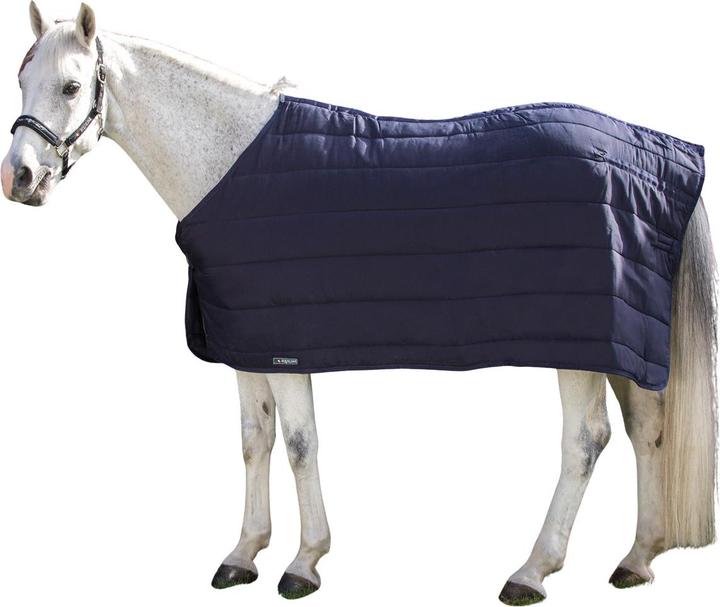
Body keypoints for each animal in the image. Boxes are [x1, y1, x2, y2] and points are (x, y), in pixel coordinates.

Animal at [2, 3, 716, 604]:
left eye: (70, 87)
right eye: (20, 78)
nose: (19, 178)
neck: (229, 164)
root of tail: (651, 147)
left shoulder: (287, 350)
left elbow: (298, 444)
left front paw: (302, 563)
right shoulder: (246, 346)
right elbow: (254, 441)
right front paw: (242, 553)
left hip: (581, 349)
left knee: (586, 440)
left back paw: (532, 571)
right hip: (627, 348)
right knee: (647, 428)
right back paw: (637, 558)